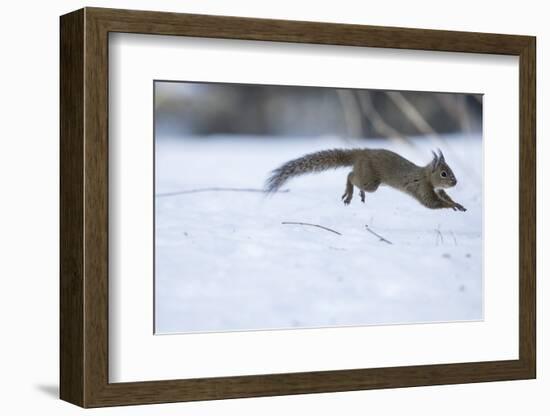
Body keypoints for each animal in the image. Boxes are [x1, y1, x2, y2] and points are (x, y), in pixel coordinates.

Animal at [266, 148, 468, 211]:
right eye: (444, 173)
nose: (455, 182)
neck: (426, 175)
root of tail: (361, 153)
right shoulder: (422, 189)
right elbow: (432, 203)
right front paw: (451, 206)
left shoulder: (438, 190)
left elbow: (445, 197)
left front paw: (457, 204)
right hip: (371, 181)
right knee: (350, 176)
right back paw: (349, 193)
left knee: (353, 177)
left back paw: (358, 194)